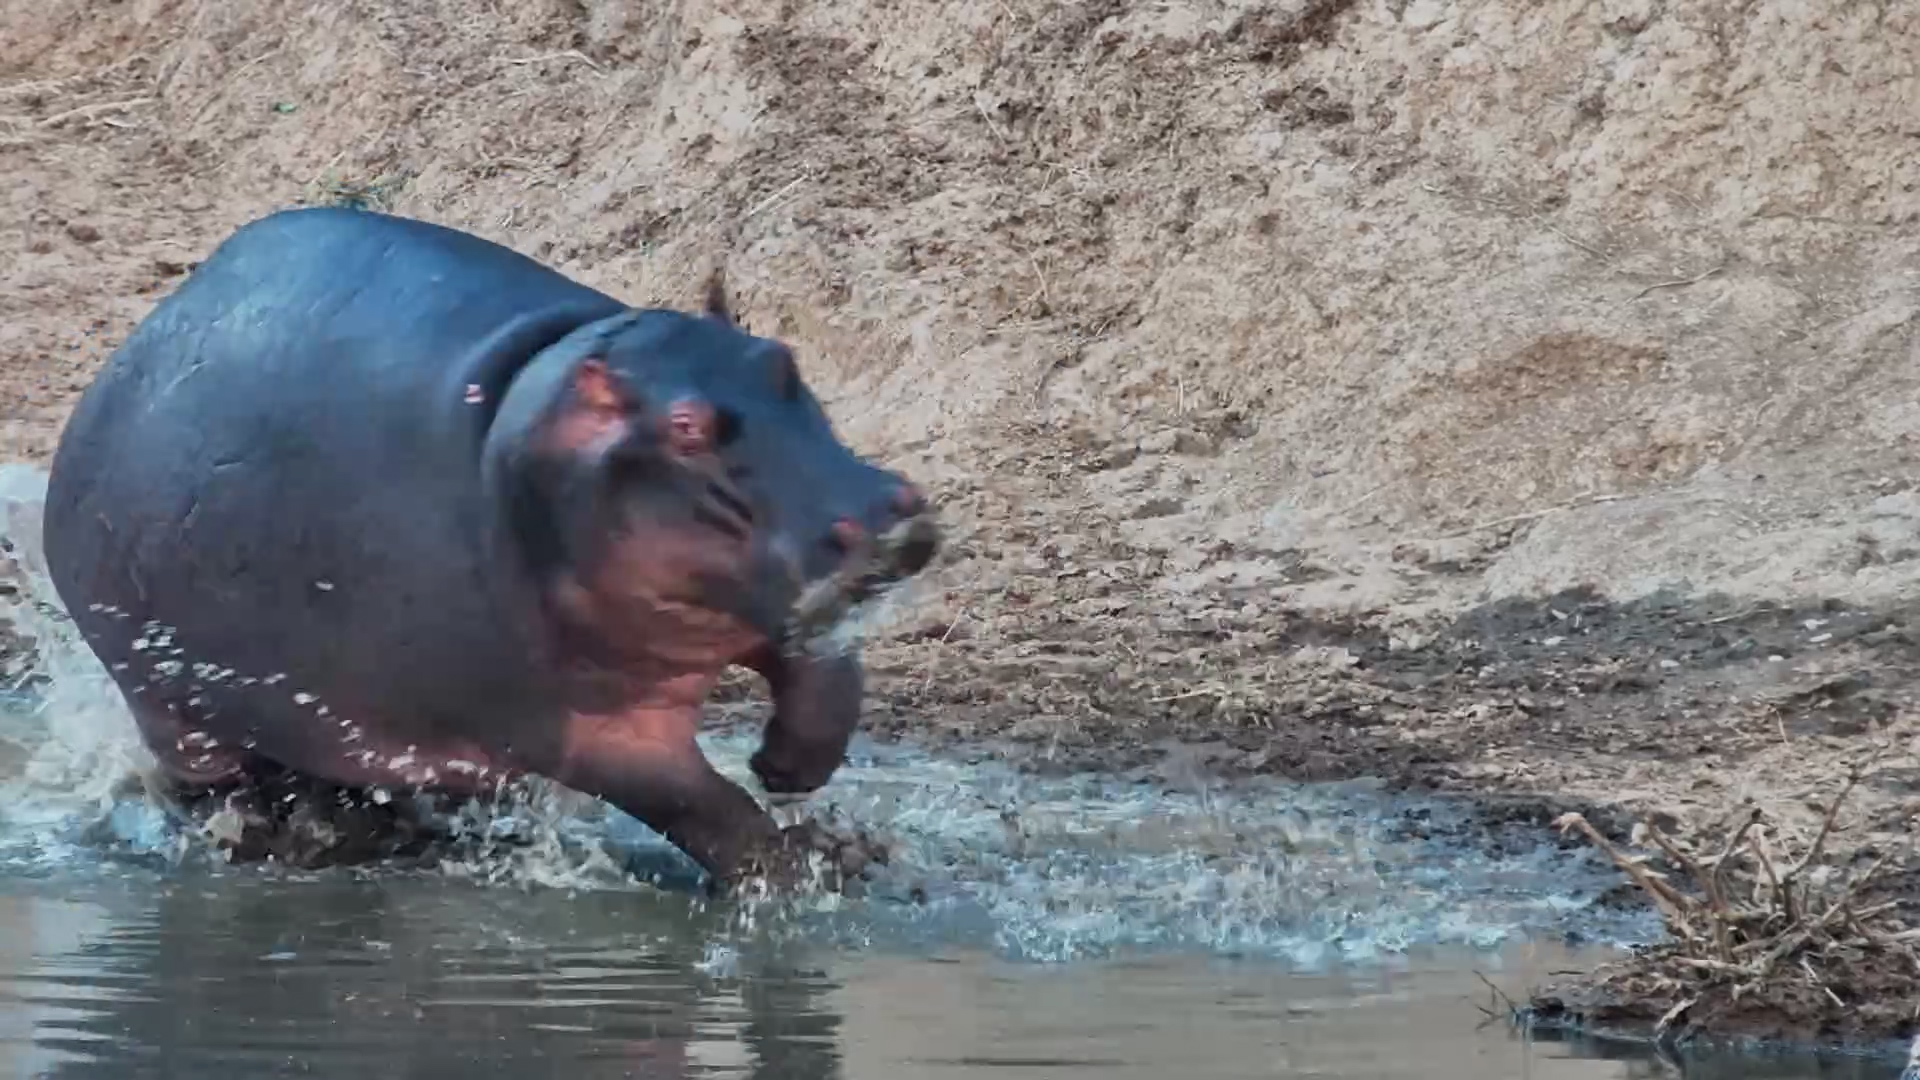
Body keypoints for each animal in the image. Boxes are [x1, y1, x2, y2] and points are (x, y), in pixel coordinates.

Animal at [40, 206, 938, 890]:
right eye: (685, 428)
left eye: (782, 360)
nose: (880, 514)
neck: (535, 427)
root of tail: (133, 346)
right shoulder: (582, 730)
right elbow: (701, 806)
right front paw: (800, 870)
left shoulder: (770, 597)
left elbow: (823, 678)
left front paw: (790, 773)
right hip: (175, 709)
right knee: (218, 787)